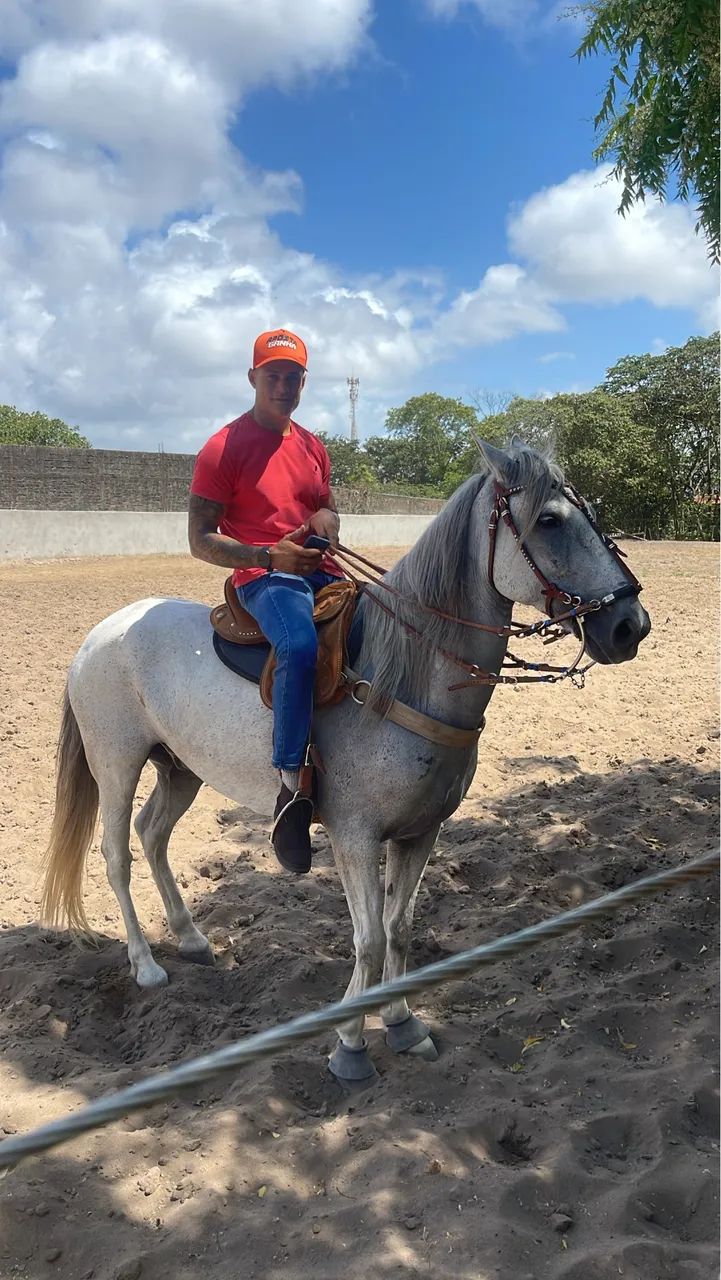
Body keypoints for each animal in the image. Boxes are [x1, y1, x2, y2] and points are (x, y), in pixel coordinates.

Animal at [40, 438, 651, 1083]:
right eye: (550, 520)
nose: (629, 625)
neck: (404, 673)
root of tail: (100, 632)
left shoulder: (420, 832)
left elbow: (399, 929)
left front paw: (403, 1024)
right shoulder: (354, 835)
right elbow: (369, 941)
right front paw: (350, 1045)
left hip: (181, 768)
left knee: (152, 834)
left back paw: (191, 939)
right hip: (116, 762)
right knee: (116, 856)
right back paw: (146, 966)